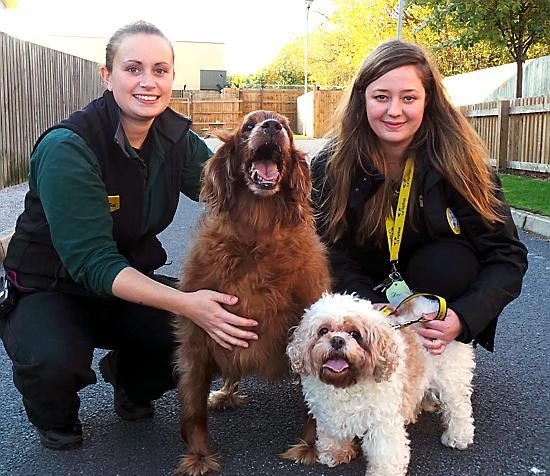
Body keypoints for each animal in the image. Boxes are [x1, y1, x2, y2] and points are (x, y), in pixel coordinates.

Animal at [175, 109, 330, 474]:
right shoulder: (198, 335)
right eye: (248, 126)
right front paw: (199, 457)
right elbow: (193, 408)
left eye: (285, 127)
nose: (272, 126)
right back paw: (226, 394)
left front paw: (311, 447)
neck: (259, 231)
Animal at [286, 294, 476, 476]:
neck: (347, 383)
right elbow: (331, 434)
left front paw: (384, 472)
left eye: (355, 334)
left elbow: (385, 452)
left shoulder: (382, 422)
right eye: (323, 330)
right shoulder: (327, 412)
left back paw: (458, 436)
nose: (337, 340)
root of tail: (432, 306)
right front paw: (335, 453)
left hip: (451, 379)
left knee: (459, 409)